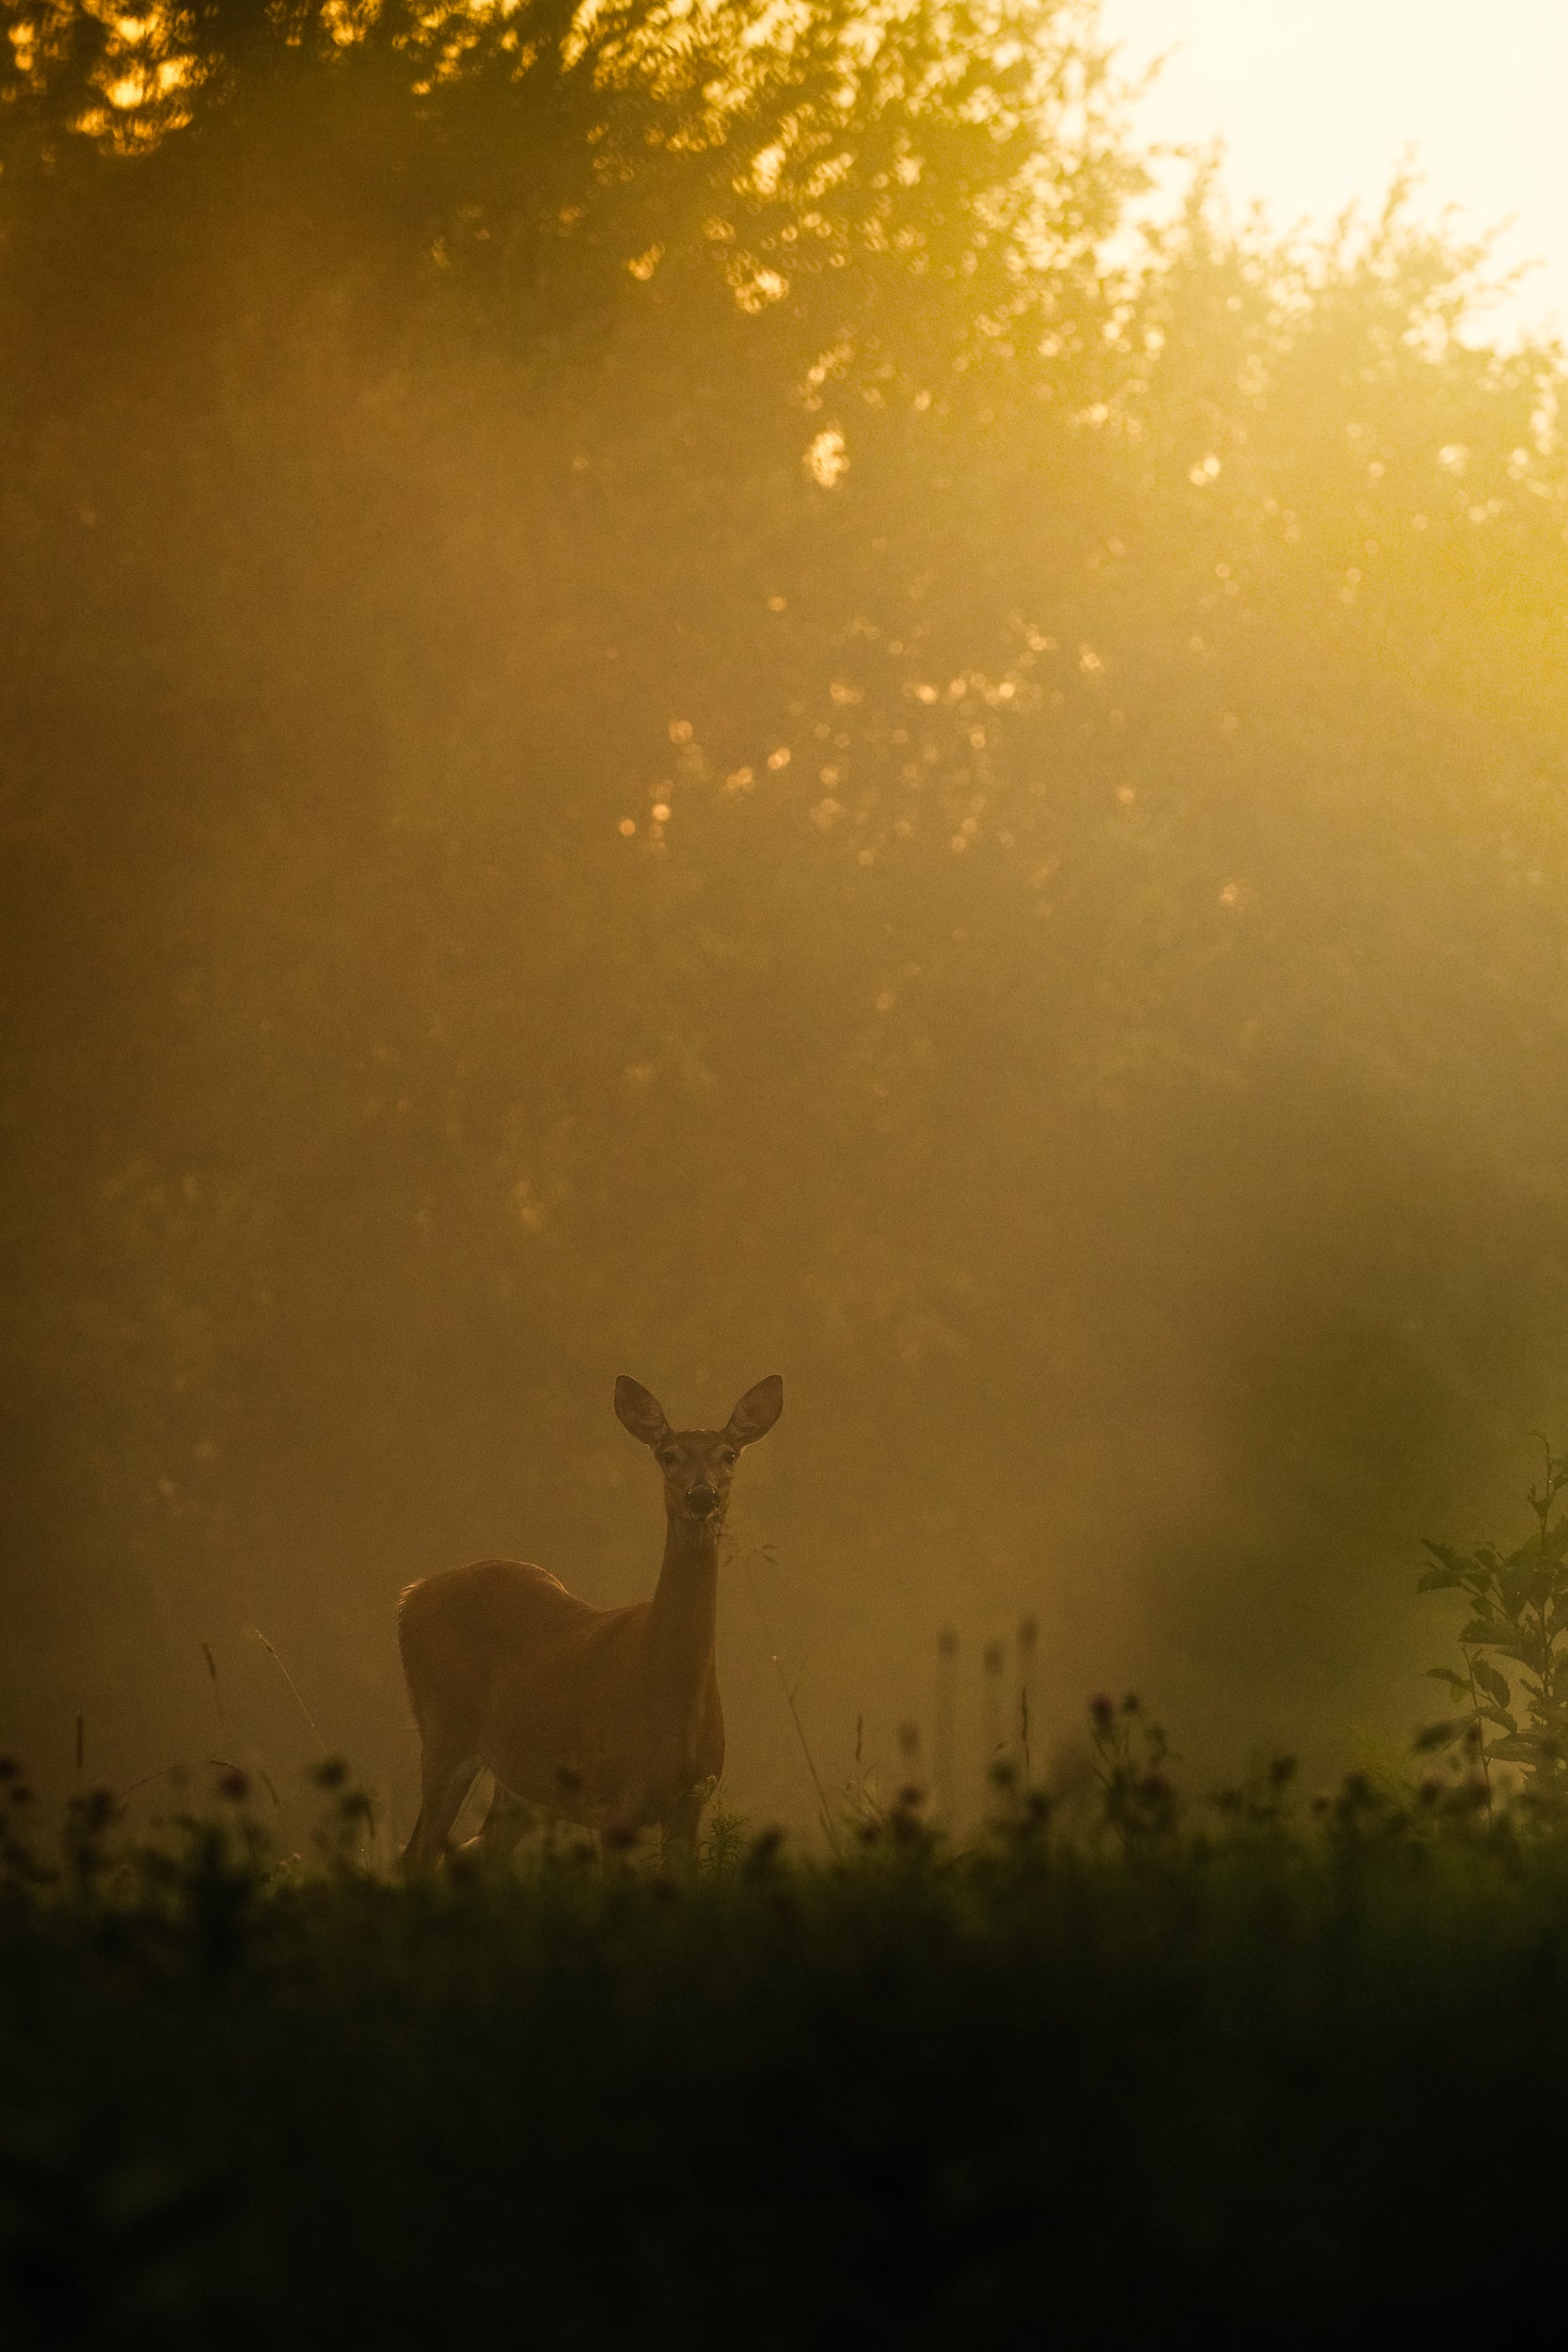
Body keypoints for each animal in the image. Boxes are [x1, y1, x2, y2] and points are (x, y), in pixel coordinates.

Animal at [397, 1373, 783, 1873]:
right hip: (444, 1727)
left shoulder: (692, 1800)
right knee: (418, 1854)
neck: (670, 1697)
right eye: (668, 1455)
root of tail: (412, 1594)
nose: (701, 1495)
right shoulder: (614, 1799)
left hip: (518, 1780)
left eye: (728, 1454)